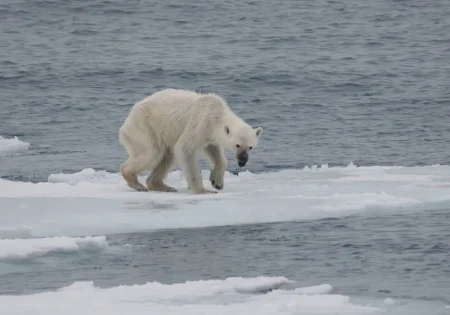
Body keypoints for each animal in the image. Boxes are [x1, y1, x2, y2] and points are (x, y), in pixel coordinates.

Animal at [118, 87, 264, 194]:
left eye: (251, 147)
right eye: (237, 145)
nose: (242, 161)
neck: (217, 113)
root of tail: (127, 121)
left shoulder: (209, 133)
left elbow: (214, 150)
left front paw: (217, 182)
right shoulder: (201, 122)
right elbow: (185, 148)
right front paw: (203, 190)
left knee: (167, 156)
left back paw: (163, 186)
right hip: (144, 128)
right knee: (153, 153)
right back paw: (136, 183)